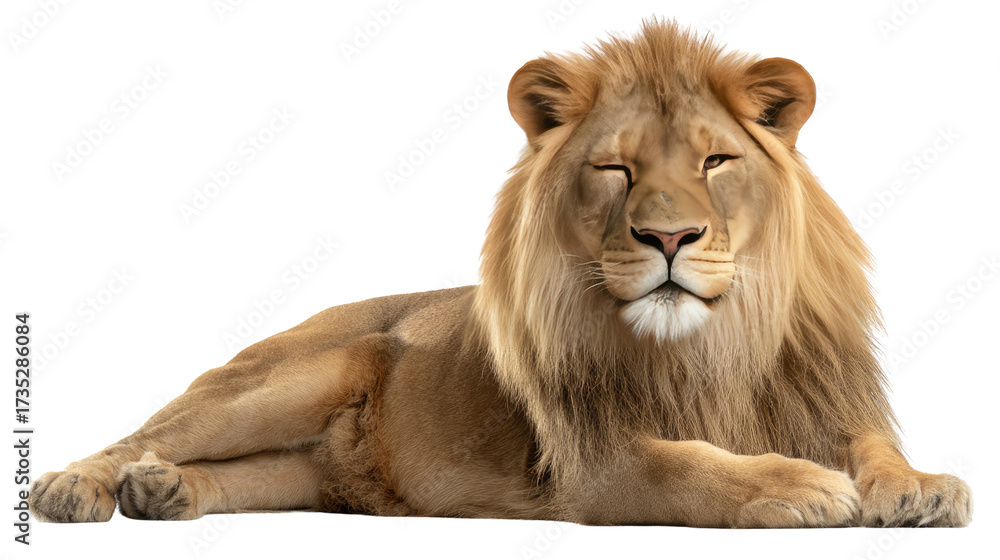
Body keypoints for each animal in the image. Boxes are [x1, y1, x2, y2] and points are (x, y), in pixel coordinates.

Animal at [30, 20, 971, 528]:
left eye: (715, 160)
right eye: (616, 170)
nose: (670, 236)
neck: (712, 346)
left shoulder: (816, 400)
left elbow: (875, 446)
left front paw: (921, 488)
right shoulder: (599, 461)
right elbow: (695, 465)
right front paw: (800, 486)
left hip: (300, 472)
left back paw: (164, 492)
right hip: (282, 379)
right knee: (143, 431)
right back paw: (75, 486)